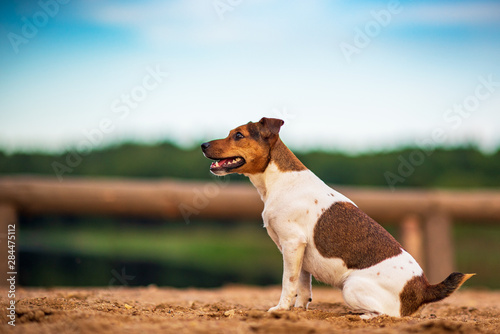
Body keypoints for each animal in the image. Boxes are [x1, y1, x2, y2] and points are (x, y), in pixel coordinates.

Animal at [200, 117, 472, 318]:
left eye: (238, 135)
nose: (202, 145)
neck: (278, 180)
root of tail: (424, 289)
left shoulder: (291, 244)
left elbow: (288, 282)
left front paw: (281, 309)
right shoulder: (300, 252)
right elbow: (303, 286)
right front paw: (299, 310)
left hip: (351, 287)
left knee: (385, 314)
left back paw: (359, 316)